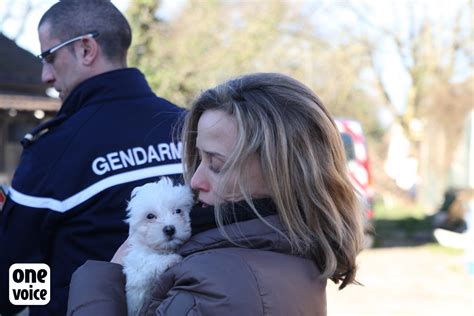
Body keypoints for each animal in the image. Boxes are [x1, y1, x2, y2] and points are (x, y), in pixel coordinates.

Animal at [125, 177, 195, 314]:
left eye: (178, 211)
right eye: (150, 216)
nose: (169, 229)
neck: (161, 249)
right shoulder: (136, 272)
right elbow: (149, 262)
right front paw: (172, 259)